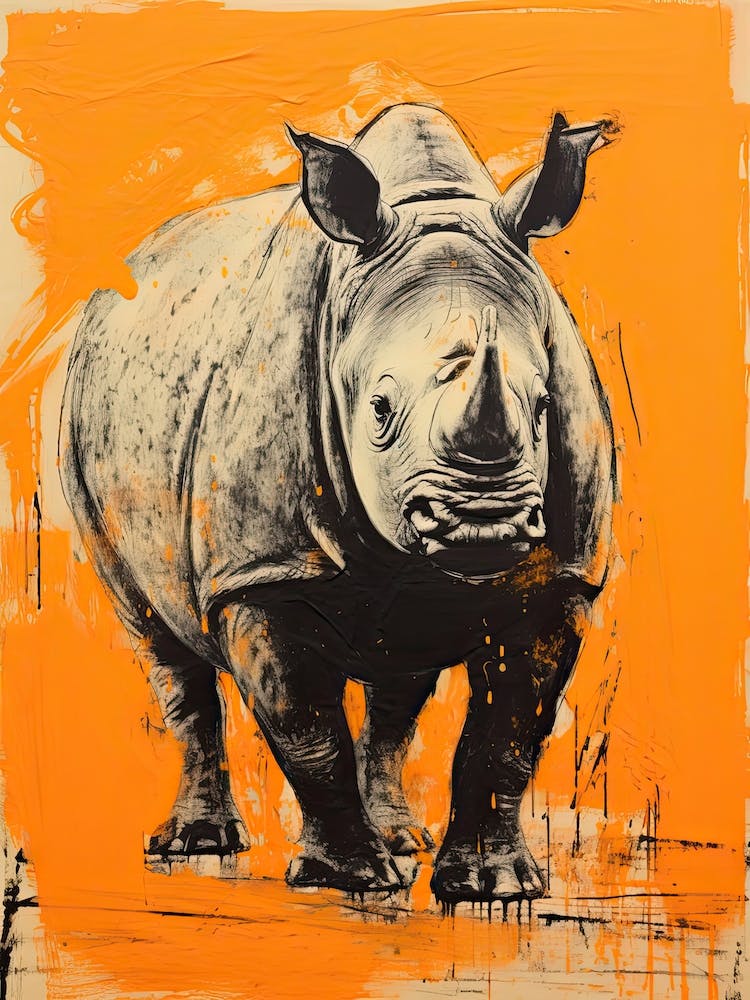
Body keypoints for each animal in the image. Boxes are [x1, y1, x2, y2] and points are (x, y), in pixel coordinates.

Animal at [59, 103, 615, 906]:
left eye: (542, 406)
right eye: (378, 409)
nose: (484, 523)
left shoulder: (558, 577)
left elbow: (509, 731)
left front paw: (493, 888)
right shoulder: (262, 571)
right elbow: (306, 727)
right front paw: (347, 882)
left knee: (400, 681)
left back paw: (403, 840)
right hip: (85, 425)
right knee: (162, 642)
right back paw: (197, 845)